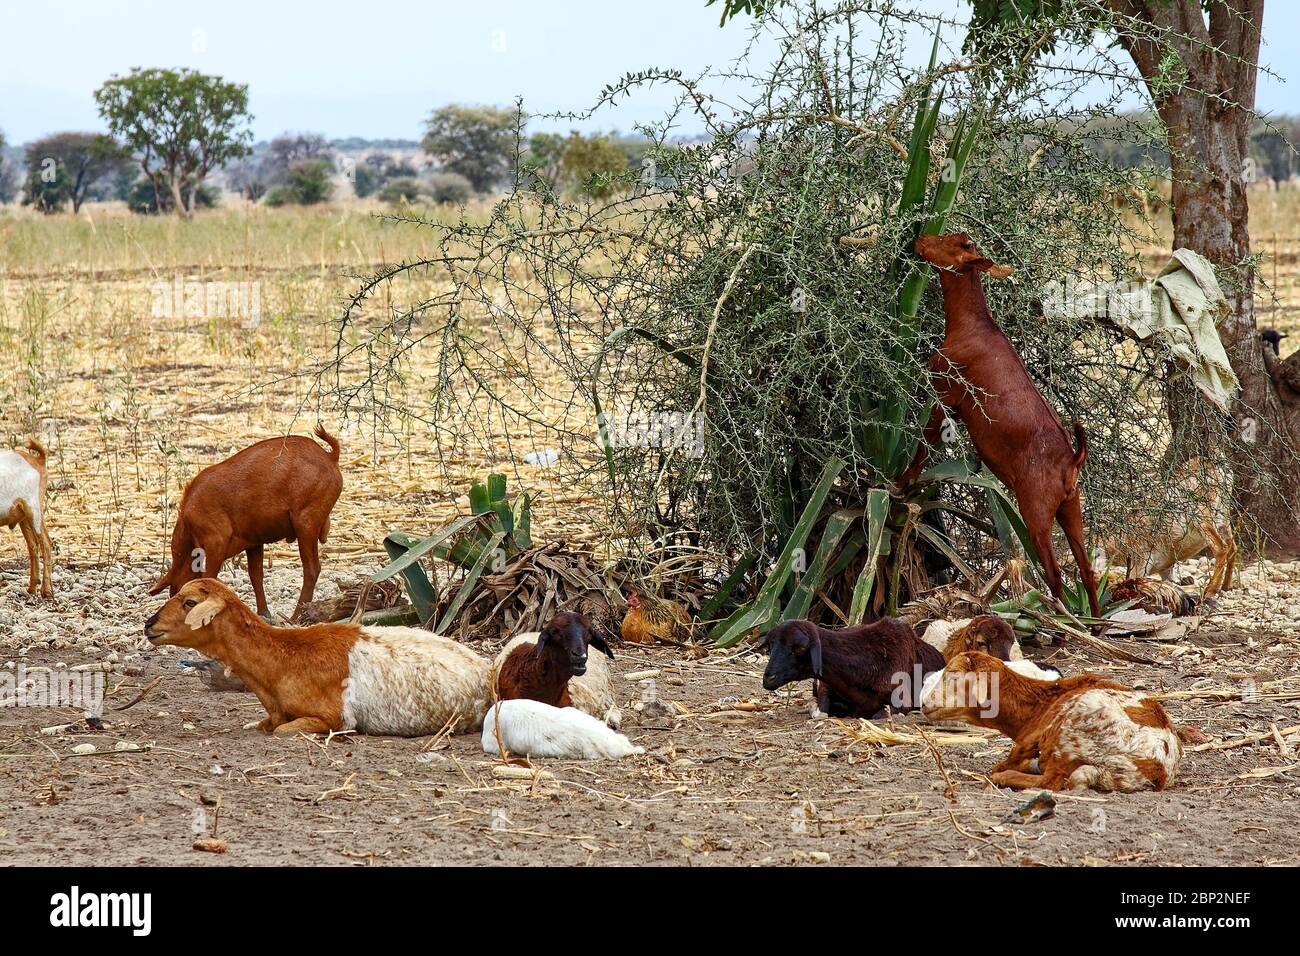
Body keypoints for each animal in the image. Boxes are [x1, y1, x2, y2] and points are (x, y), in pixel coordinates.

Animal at [142, 574, 488, 738]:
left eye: (189, 602)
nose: (149, 624)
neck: (283, 661)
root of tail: (486, 669)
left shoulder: (334, 719)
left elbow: (282, 731)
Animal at [149, 426, 343, 621]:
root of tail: (330, 456)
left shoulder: (215, 541)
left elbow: (209, 577)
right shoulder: (254, 541)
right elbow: (255, 575)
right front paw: (264, 614)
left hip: (306, 521)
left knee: (312, 569)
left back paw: (294, 617)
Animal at [899, 232, 1102, 621]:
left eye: (949, 243)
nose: (919, 239)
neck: (972, 324)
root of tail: (1072, 460)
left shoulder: (945, 391)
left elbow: (923, 445)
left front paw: (901, 484)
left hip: (1035, 511)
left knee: (1054, 571)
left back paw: (1058, 619)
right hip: (1071, 508)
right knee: (1086, 569)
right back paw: (1096, 626)